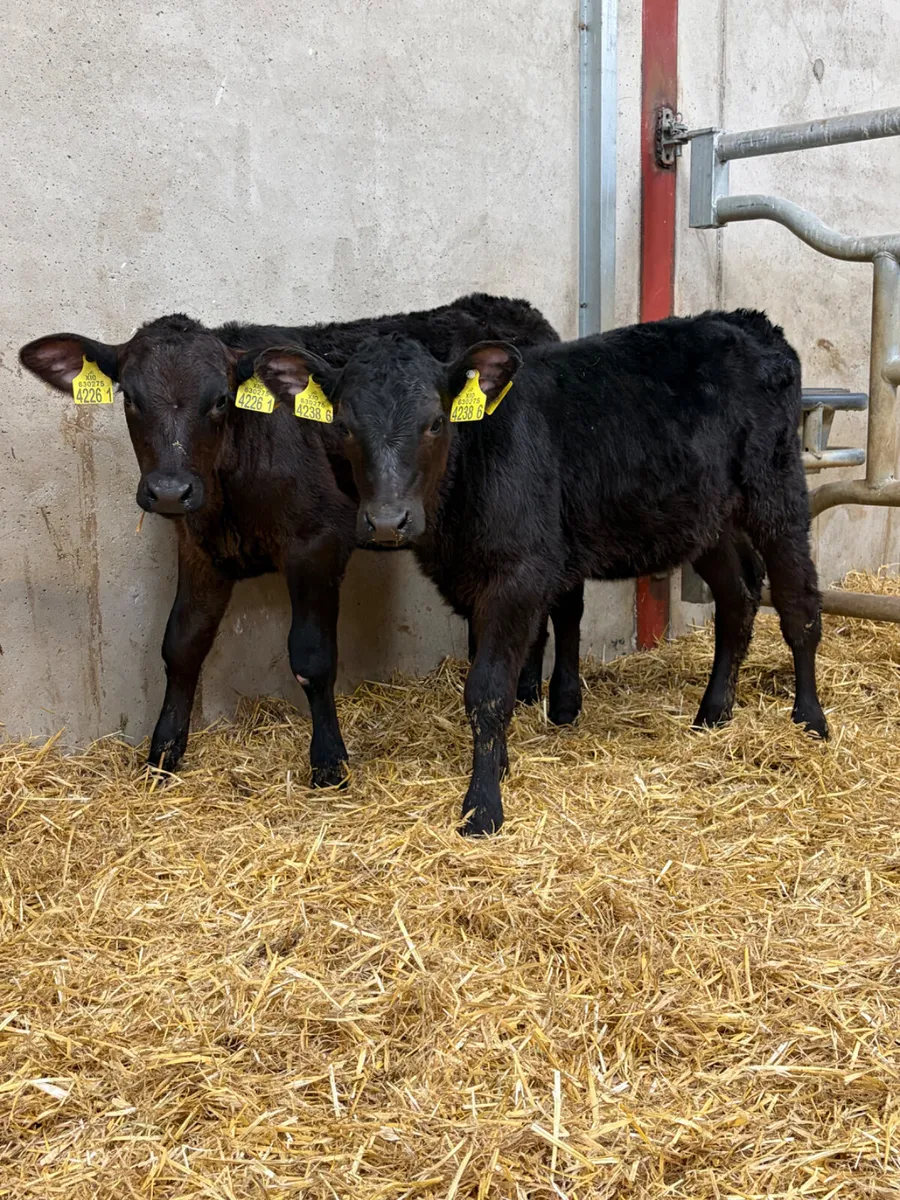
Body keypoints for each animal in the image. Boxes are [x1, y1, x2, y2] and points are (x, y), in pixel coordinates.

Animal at [19, 294, 562, 787]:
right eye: (130, 398)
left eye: (220, 399)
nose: (170, 490)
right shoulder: (198, 547)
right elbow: (181, 645)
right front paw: (163, 757)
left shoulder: (316, 544)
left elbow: (312, 657)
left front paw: (329, 765)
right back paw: (528, 692)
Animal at [252, 309, 828, 835]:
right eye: (343, 425)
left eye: (435, 422)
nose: (388, 521)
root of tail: (747, 320)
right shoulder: (472, 579)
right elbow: (488, 675)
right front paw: (500, 766)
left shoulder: (518, 576)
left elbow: (488, 689)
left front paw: (483, 807)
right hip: (707, 518)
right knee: (738, 597)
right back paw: (713, 713)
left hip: (776, 491)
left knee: (798, 604)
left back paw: (810, 720)